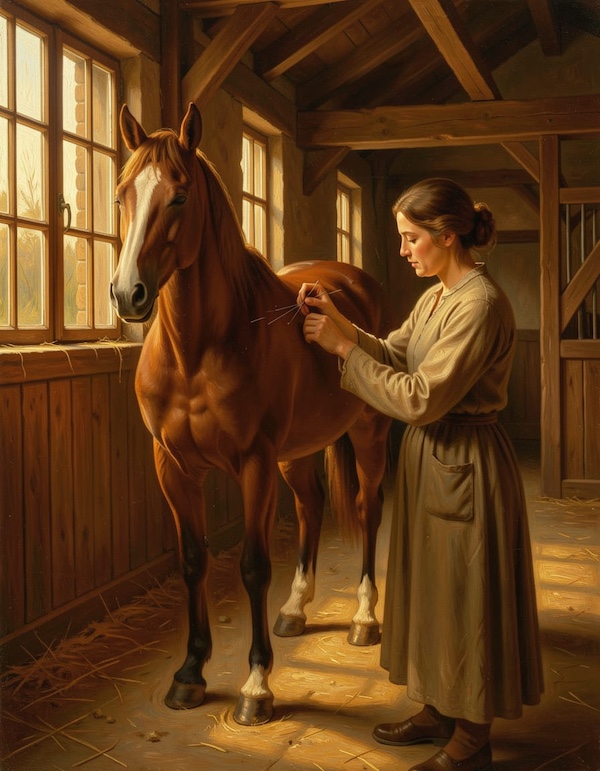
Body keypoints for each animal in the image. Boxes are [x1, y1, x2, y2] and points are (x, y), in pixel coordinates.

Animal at [110, 102, 393, 726]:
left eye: (180, 195)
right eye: (121, 194)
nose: (127, 295)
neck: (196, 351)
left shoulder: (254, 464)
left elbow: (252, 566)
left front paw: (257, 685)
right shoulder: (174, 467)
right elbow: (194, 561)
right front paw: (190, 672)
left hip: (366, 436)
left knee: (366, 510)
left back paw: (365, 618)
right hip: (296, 453)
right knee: (311, 507)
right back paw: (296, 609)